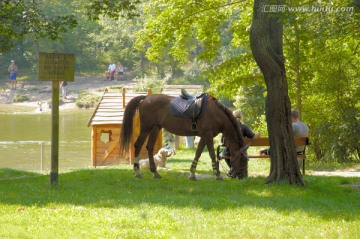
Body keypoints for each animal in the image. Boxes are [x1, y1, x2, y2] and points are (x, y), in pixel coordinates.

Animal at [119, 93, 249, 179]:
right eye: (242, 160)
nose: (242, 175)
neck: (215, 113)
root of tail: (146, 98)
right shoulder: (208, 135)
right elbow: (212, 154)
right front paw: (217, 175)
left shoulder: (204, 136)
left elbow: (198, 153)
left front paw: (192, 174)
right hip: (146, 128)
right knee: (138, 145)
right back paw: (137, 172)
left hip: (156, 128)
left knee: (150, 147)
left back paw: (155, 172)